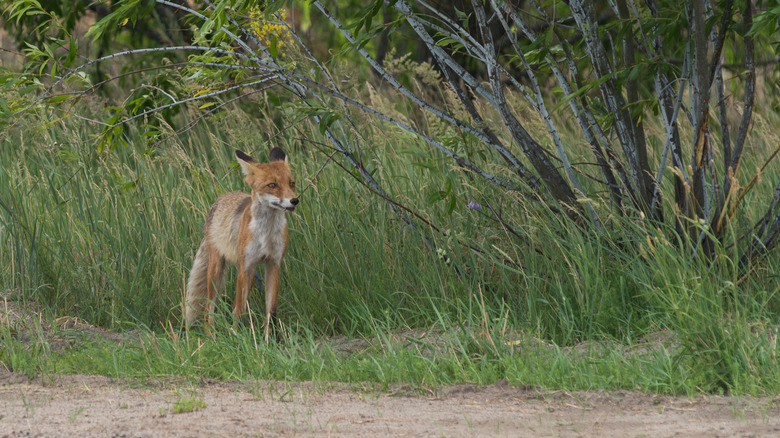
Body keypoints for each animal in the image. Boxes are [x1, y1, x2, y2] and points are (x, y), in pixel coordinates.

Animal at [186, 146, 298, 338]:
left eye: (291, 183)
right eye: (272, 185)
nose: (294, 200)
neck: (266, 234)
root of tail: (222, 198)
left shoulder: (273, 264)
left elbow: (271, 312)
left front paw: (269, 340)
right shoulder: (245, 267)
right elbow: (240, 312)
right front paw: (238, 337)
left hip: (251, 274)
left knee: (234, 306)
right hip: (218, 271)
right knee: (210, 308)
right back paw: (211, 337)